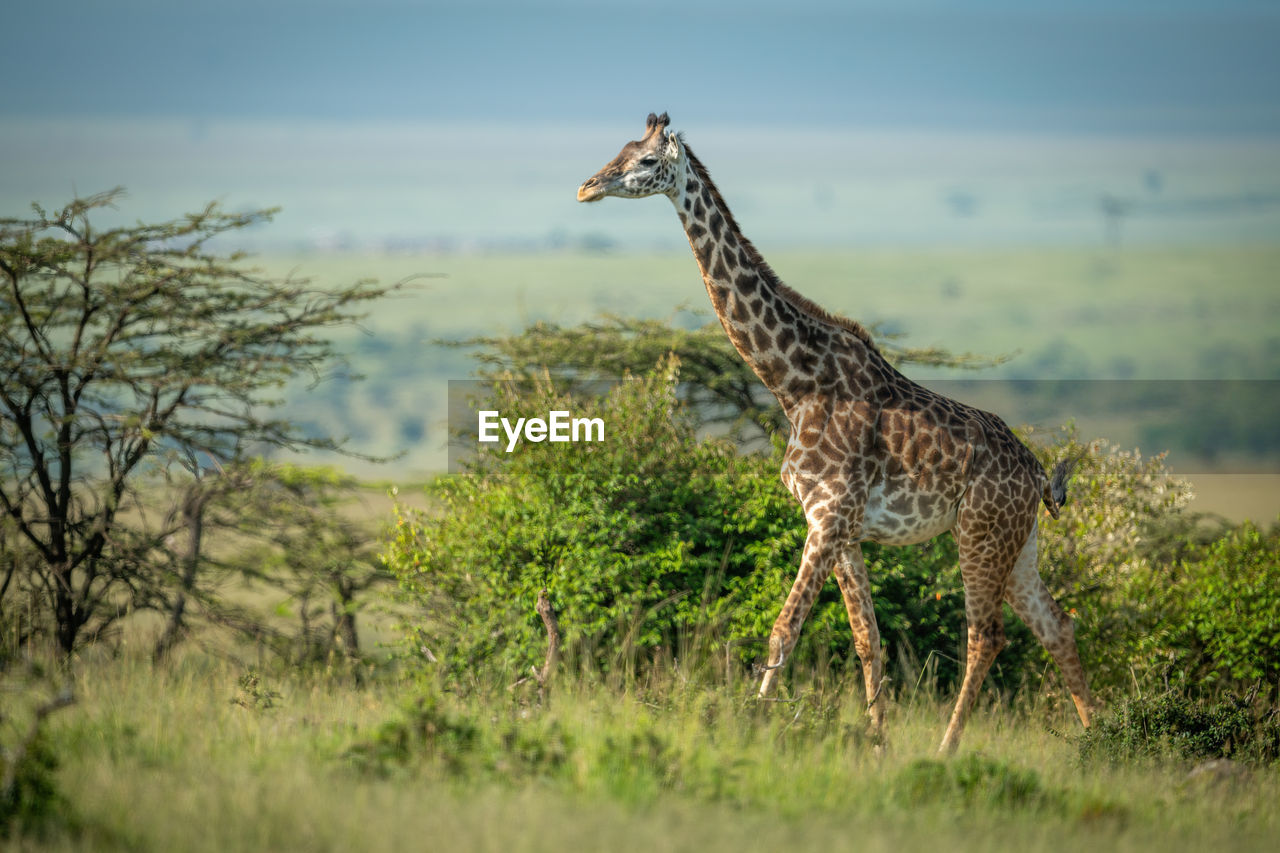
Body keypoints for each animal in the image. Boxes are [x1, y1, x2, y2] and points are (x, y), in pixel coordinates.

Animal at [581, 112, 1090, 753]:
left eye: (646, 162)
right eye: (619, 150)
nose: (587, 187)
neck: (794, 382)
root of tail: (1039, 474)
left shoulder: (826, 519)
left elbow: (783, 630)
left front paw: (752, 725)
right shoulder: (840, 528)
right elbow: (867, 639)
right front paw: (877, 743)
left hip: (980, 532)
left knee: (987, 635)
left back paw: (947, 750)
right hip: (1020, 544)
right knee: (1058, 627)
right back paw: (1105, 739)